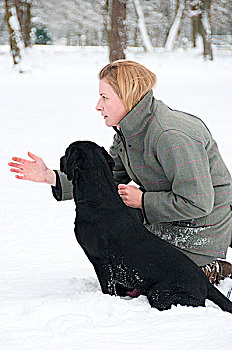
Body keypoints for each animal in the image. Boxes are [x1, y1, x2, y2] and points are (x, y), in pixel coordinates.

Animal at [60, 141, 232, 314]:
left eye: (66, 153)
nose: (61, 158)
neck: (98, 197)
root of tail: (206, 283)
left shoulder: (101, 260)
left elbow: (108, 289)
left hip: (159, 293)